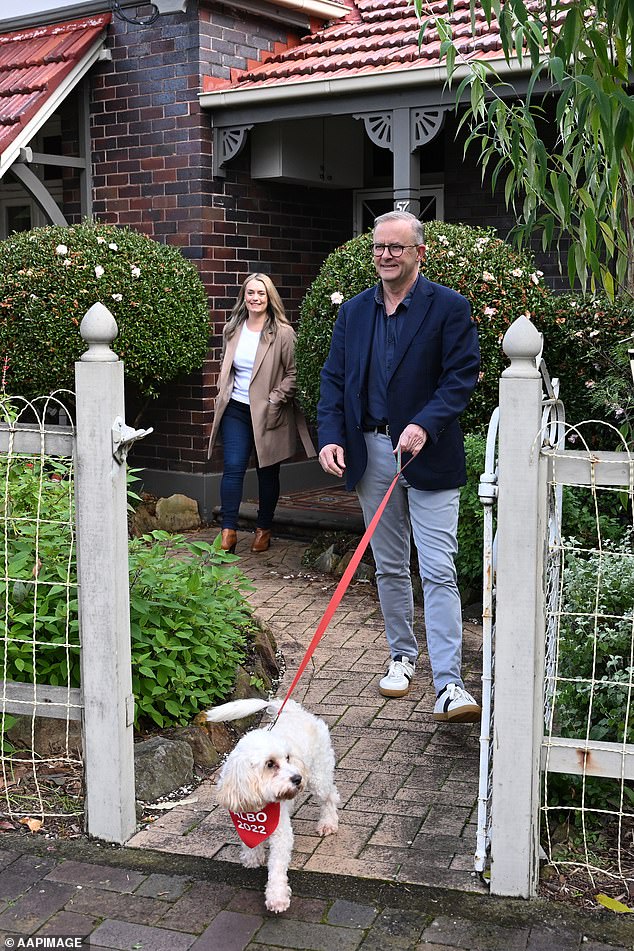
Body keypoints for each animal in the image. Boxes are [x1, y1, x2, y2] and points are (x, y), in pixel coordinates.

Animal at [205, 700, 338, 916]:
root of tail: (294, 710)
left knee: (331, 796)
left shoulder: (281, 834)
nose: (298, 778)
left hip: (319, 776)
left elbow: (276, 867)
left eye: (288, 758)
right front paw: (252, 857)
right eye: (270, 764)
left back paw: (328, 823)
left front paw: (277, 897)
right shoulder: (243, 819)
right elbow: (249, 842)